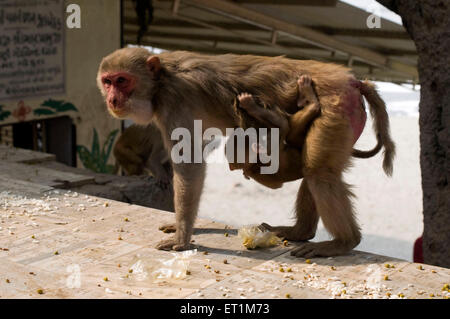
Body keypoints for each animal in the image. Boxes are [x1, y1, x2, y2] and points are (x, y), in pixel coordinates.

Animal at [97, 47, 394, 258]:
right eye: (107, 81)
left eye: (122, 80)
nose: (111, 99)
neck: (161, 82)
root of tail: (353, 81)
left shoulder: (175, 103)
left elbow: (190, 165)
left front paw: (182, 236)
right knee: (314, 170)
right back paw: (301, 232)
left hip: (335, 108)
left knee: (319, 173)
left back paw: (343, 242)